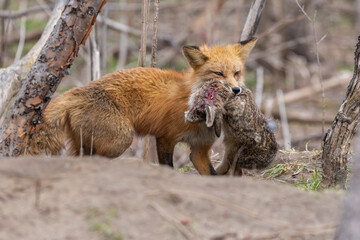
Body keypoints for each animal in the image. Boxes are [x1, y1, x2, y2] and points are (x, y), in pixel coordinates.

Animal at [27, 38, 256, 175]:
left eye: (237, 73)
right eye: (218, 74)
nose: (236, 90)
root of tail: (74, 92)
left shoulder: (200, 149)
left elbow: (211, 175)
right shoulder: (165, 138)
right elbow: (168, 167)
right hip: (121, 139)